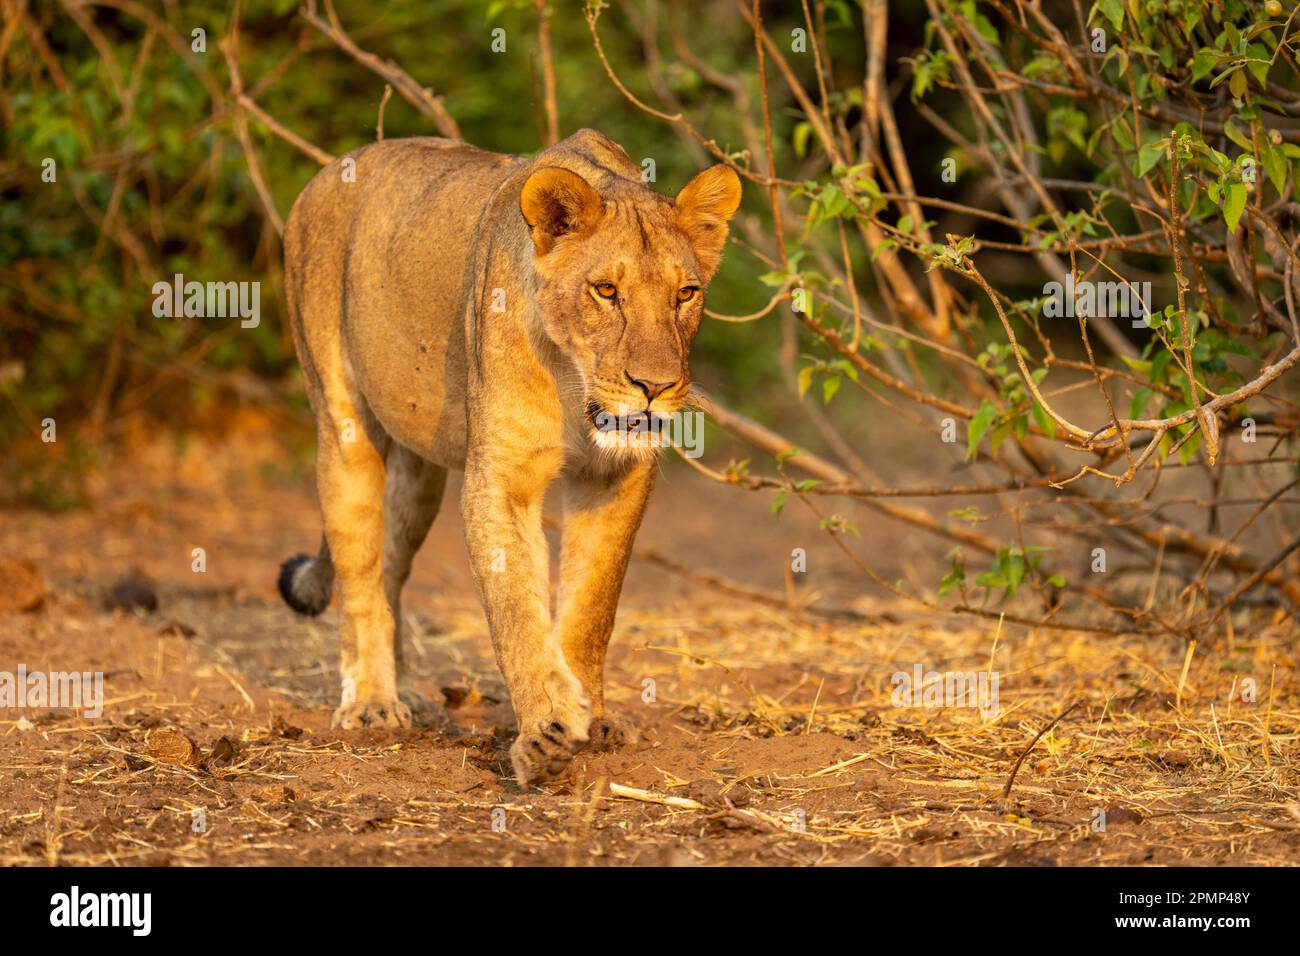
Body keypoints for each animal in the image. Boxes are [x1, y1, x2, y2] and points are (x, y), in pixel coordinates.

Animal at [277, 129, 741, 785]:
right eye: (606, 291)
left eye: (686, 294)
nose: (654, 386)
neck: (576, 389)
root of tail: (328, 171)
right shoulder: (502, 479)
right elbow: (516, 607)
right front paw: (547, 729)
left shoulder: (616, 479)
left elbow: (592, 607)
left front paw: (592, 716)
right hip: (341, 422)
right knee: (359, 575)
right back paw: (370, 703)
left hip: (420, 475)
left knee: (391, 567)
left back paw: (404, 691)